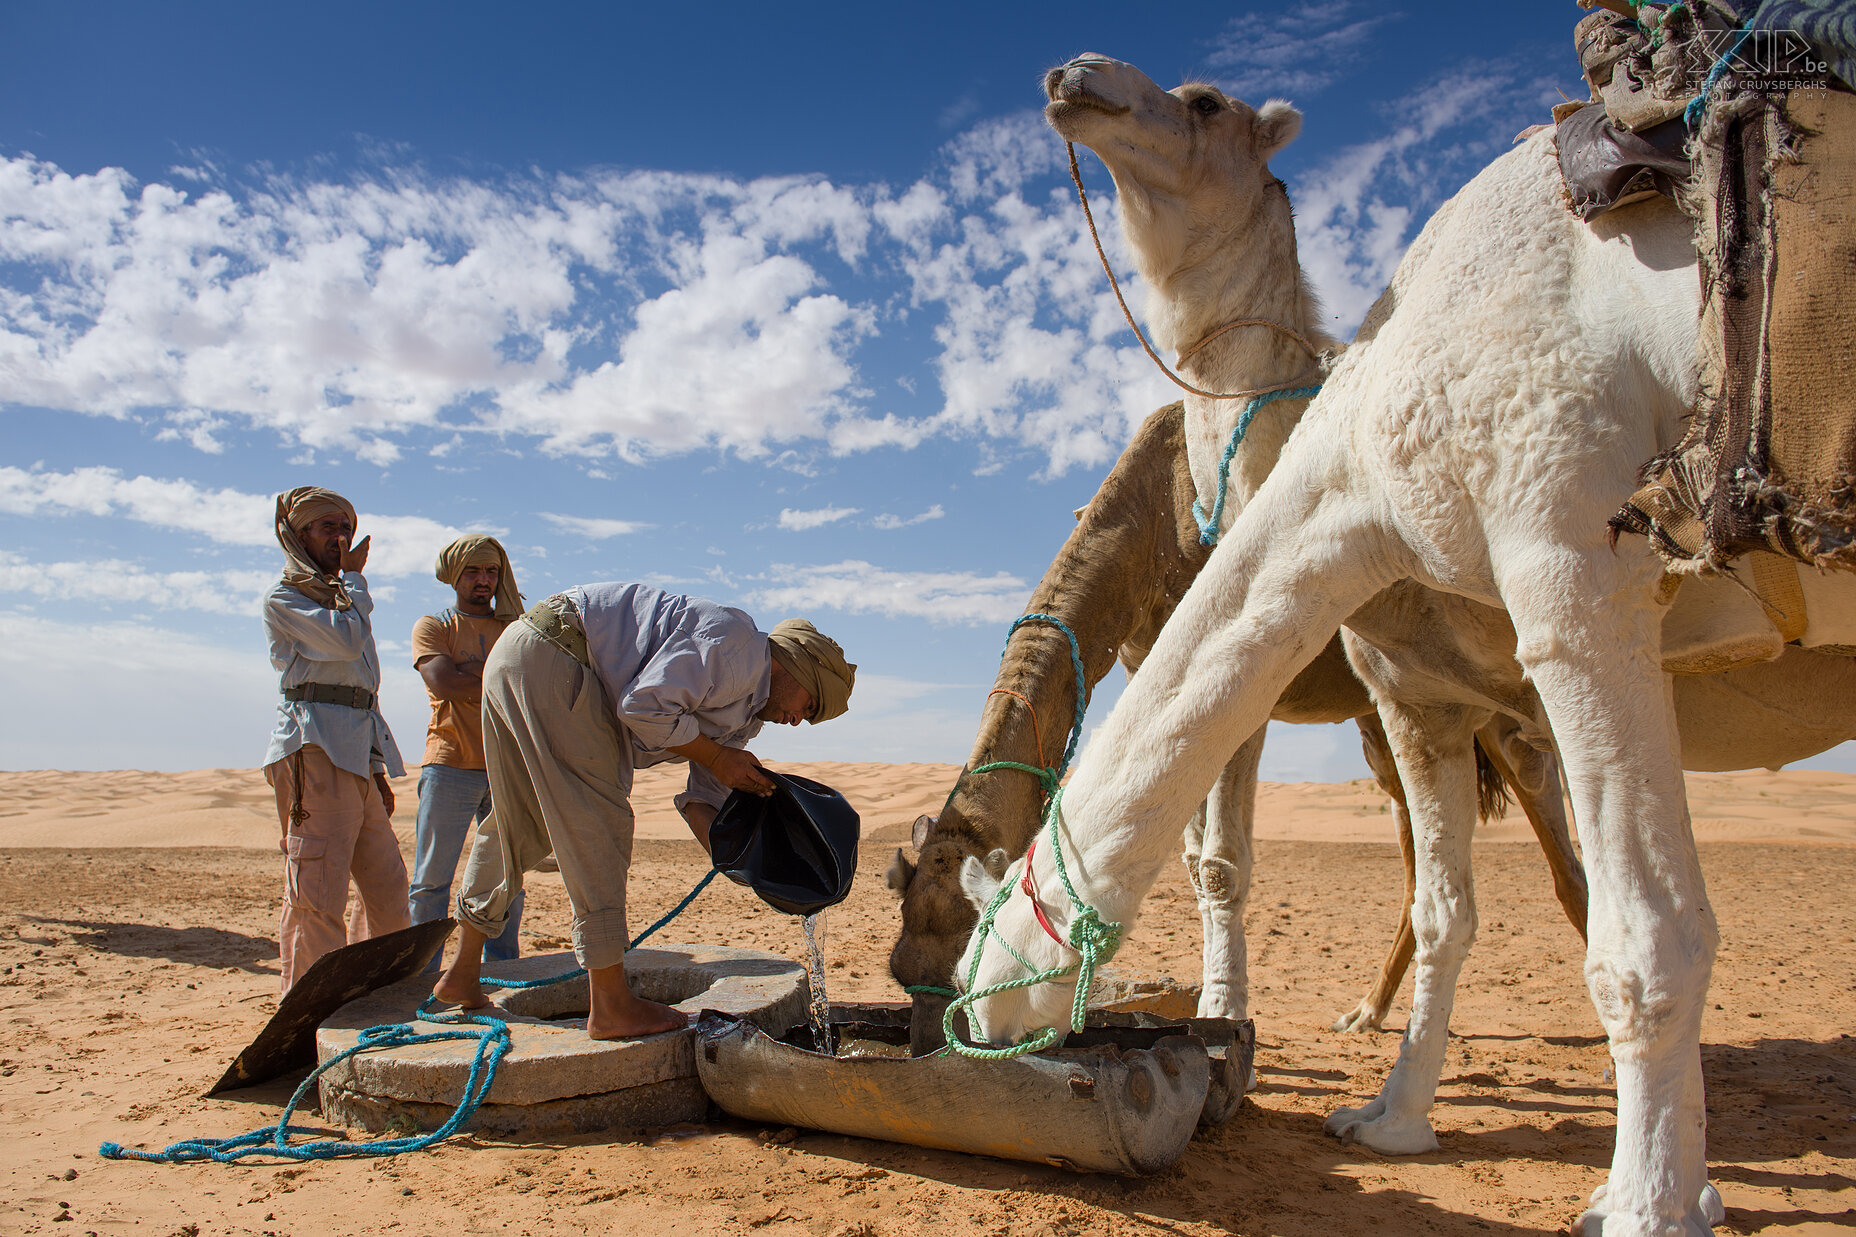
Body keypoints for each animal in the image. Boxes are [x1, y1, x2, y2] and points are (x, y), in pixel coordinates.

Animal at [879, 403, 1581, 1047]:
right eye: (901, 973)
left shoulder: (1243, 681)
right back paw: (1368, 1011)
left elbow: (1220, 864)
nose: (929, 1043)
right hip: (1379, 711)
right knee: (1412, 822)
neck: (1148, 525)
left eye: (959, 960)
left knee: (1540, 785)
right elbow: (1190, 858)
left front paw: (1222, 1006)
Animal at [957, 52, 1856, 1225]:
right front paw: (1390, 1120)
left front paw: (1654, 1203)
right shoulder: (1421, 691)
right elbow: (1439, 908)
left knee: (1585, 888)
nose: (1074, 75)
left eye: (1204, 105)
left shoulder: (1573, 574)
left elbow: (1642, 926)